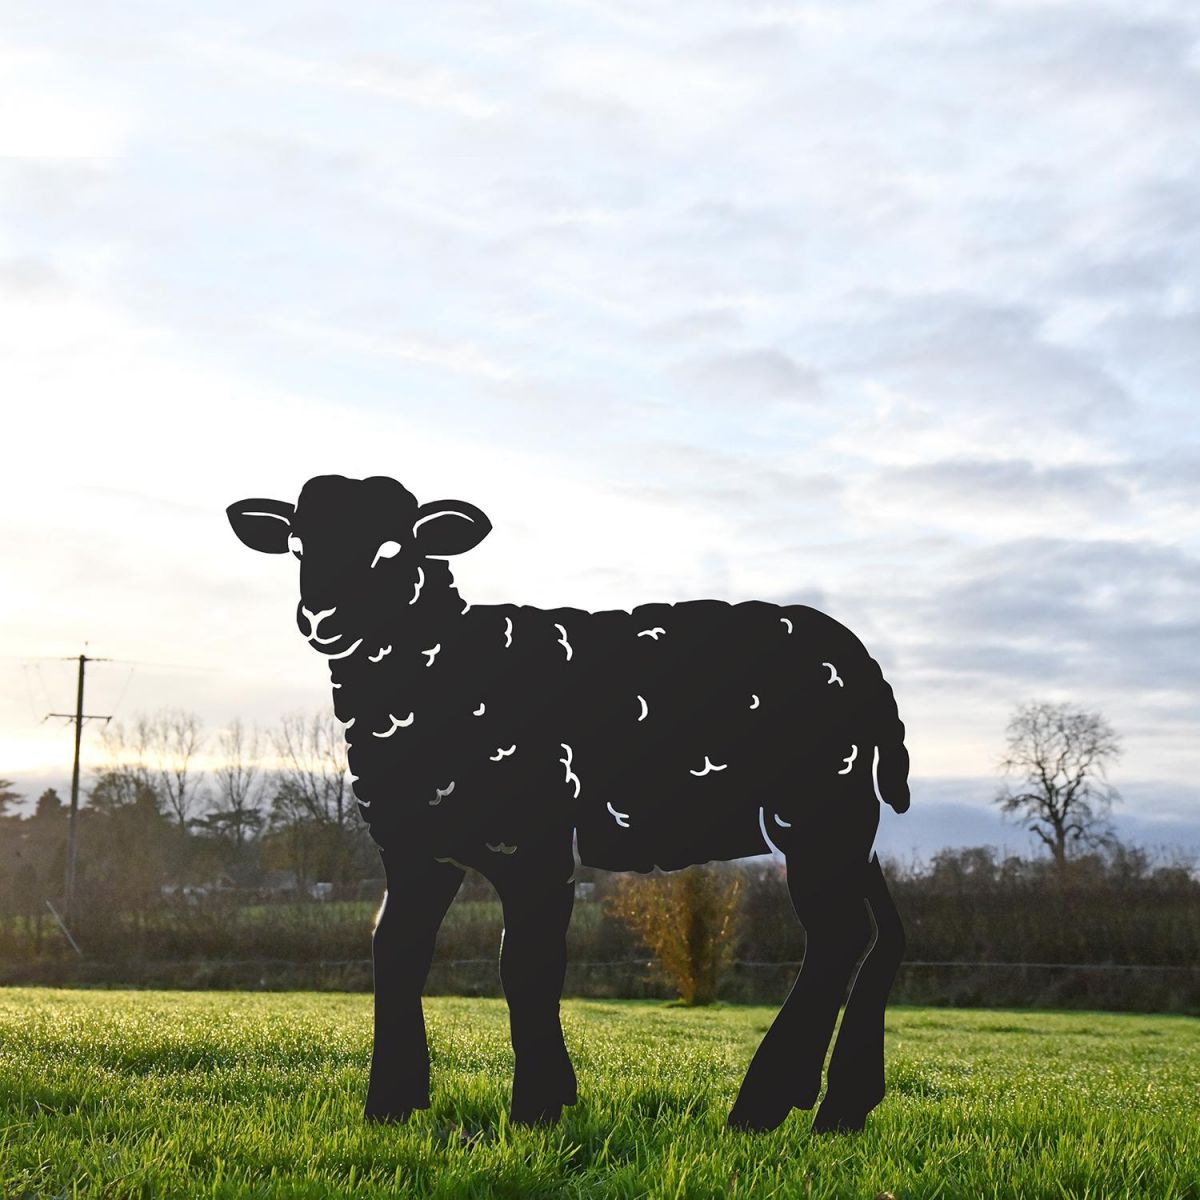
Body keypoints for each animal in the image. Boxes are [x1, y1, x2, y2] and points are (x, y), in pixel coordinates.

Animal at [227, 473, 910, 1135]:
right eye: (296, 547)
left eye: (394, 549)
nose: (321, 617)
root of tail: (866, 665)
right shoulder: (417, 847)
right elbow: (394, 950)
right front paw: (390, 1106)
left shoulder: (534, 837)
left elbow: (524, 962)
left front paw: (537, 1107)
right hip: (850, 820)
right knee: (881, 931)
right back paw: (840, 1107)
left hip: (821, 805)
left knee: (838, 935)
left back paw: (764, 1106)